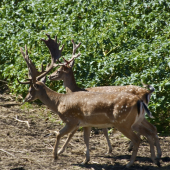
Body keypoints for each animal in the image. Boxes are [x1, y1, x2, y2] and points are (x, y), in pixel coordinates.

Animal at [17, 34, 160, 167]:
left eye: (30, 89)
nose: (26, 98)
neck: (59, 102)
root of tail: (142, 98)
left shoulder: (72, 120)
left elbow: (59, 134)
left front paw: (56, 155)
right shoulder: (86, 123)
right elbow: (86, 139)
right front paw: (85, 160)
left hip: (123, 122)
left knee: (138, 138)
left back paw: (130, 163)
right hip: (136, 121)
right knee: (150, 130)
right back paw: (155, 159)